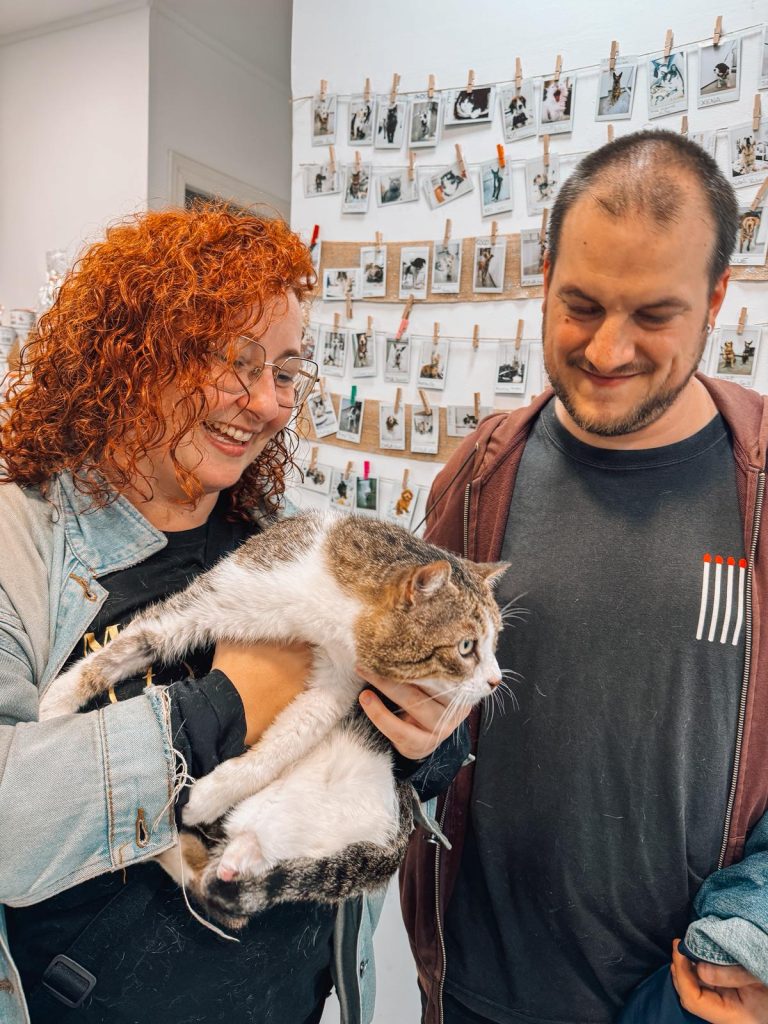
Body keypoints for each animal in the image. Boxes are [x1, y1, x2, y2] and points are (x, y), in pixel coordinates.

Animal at [39, 512, 508, 925]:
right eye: (467, 646)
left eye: (494, 641)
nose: (495, 680)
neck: (328, 618)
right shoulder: (221, 594)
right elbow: (130, 645)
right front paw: (52, 704)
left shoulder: (339, 683)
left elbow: (290, 739)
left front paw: (212, 793)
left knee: (224, 895)